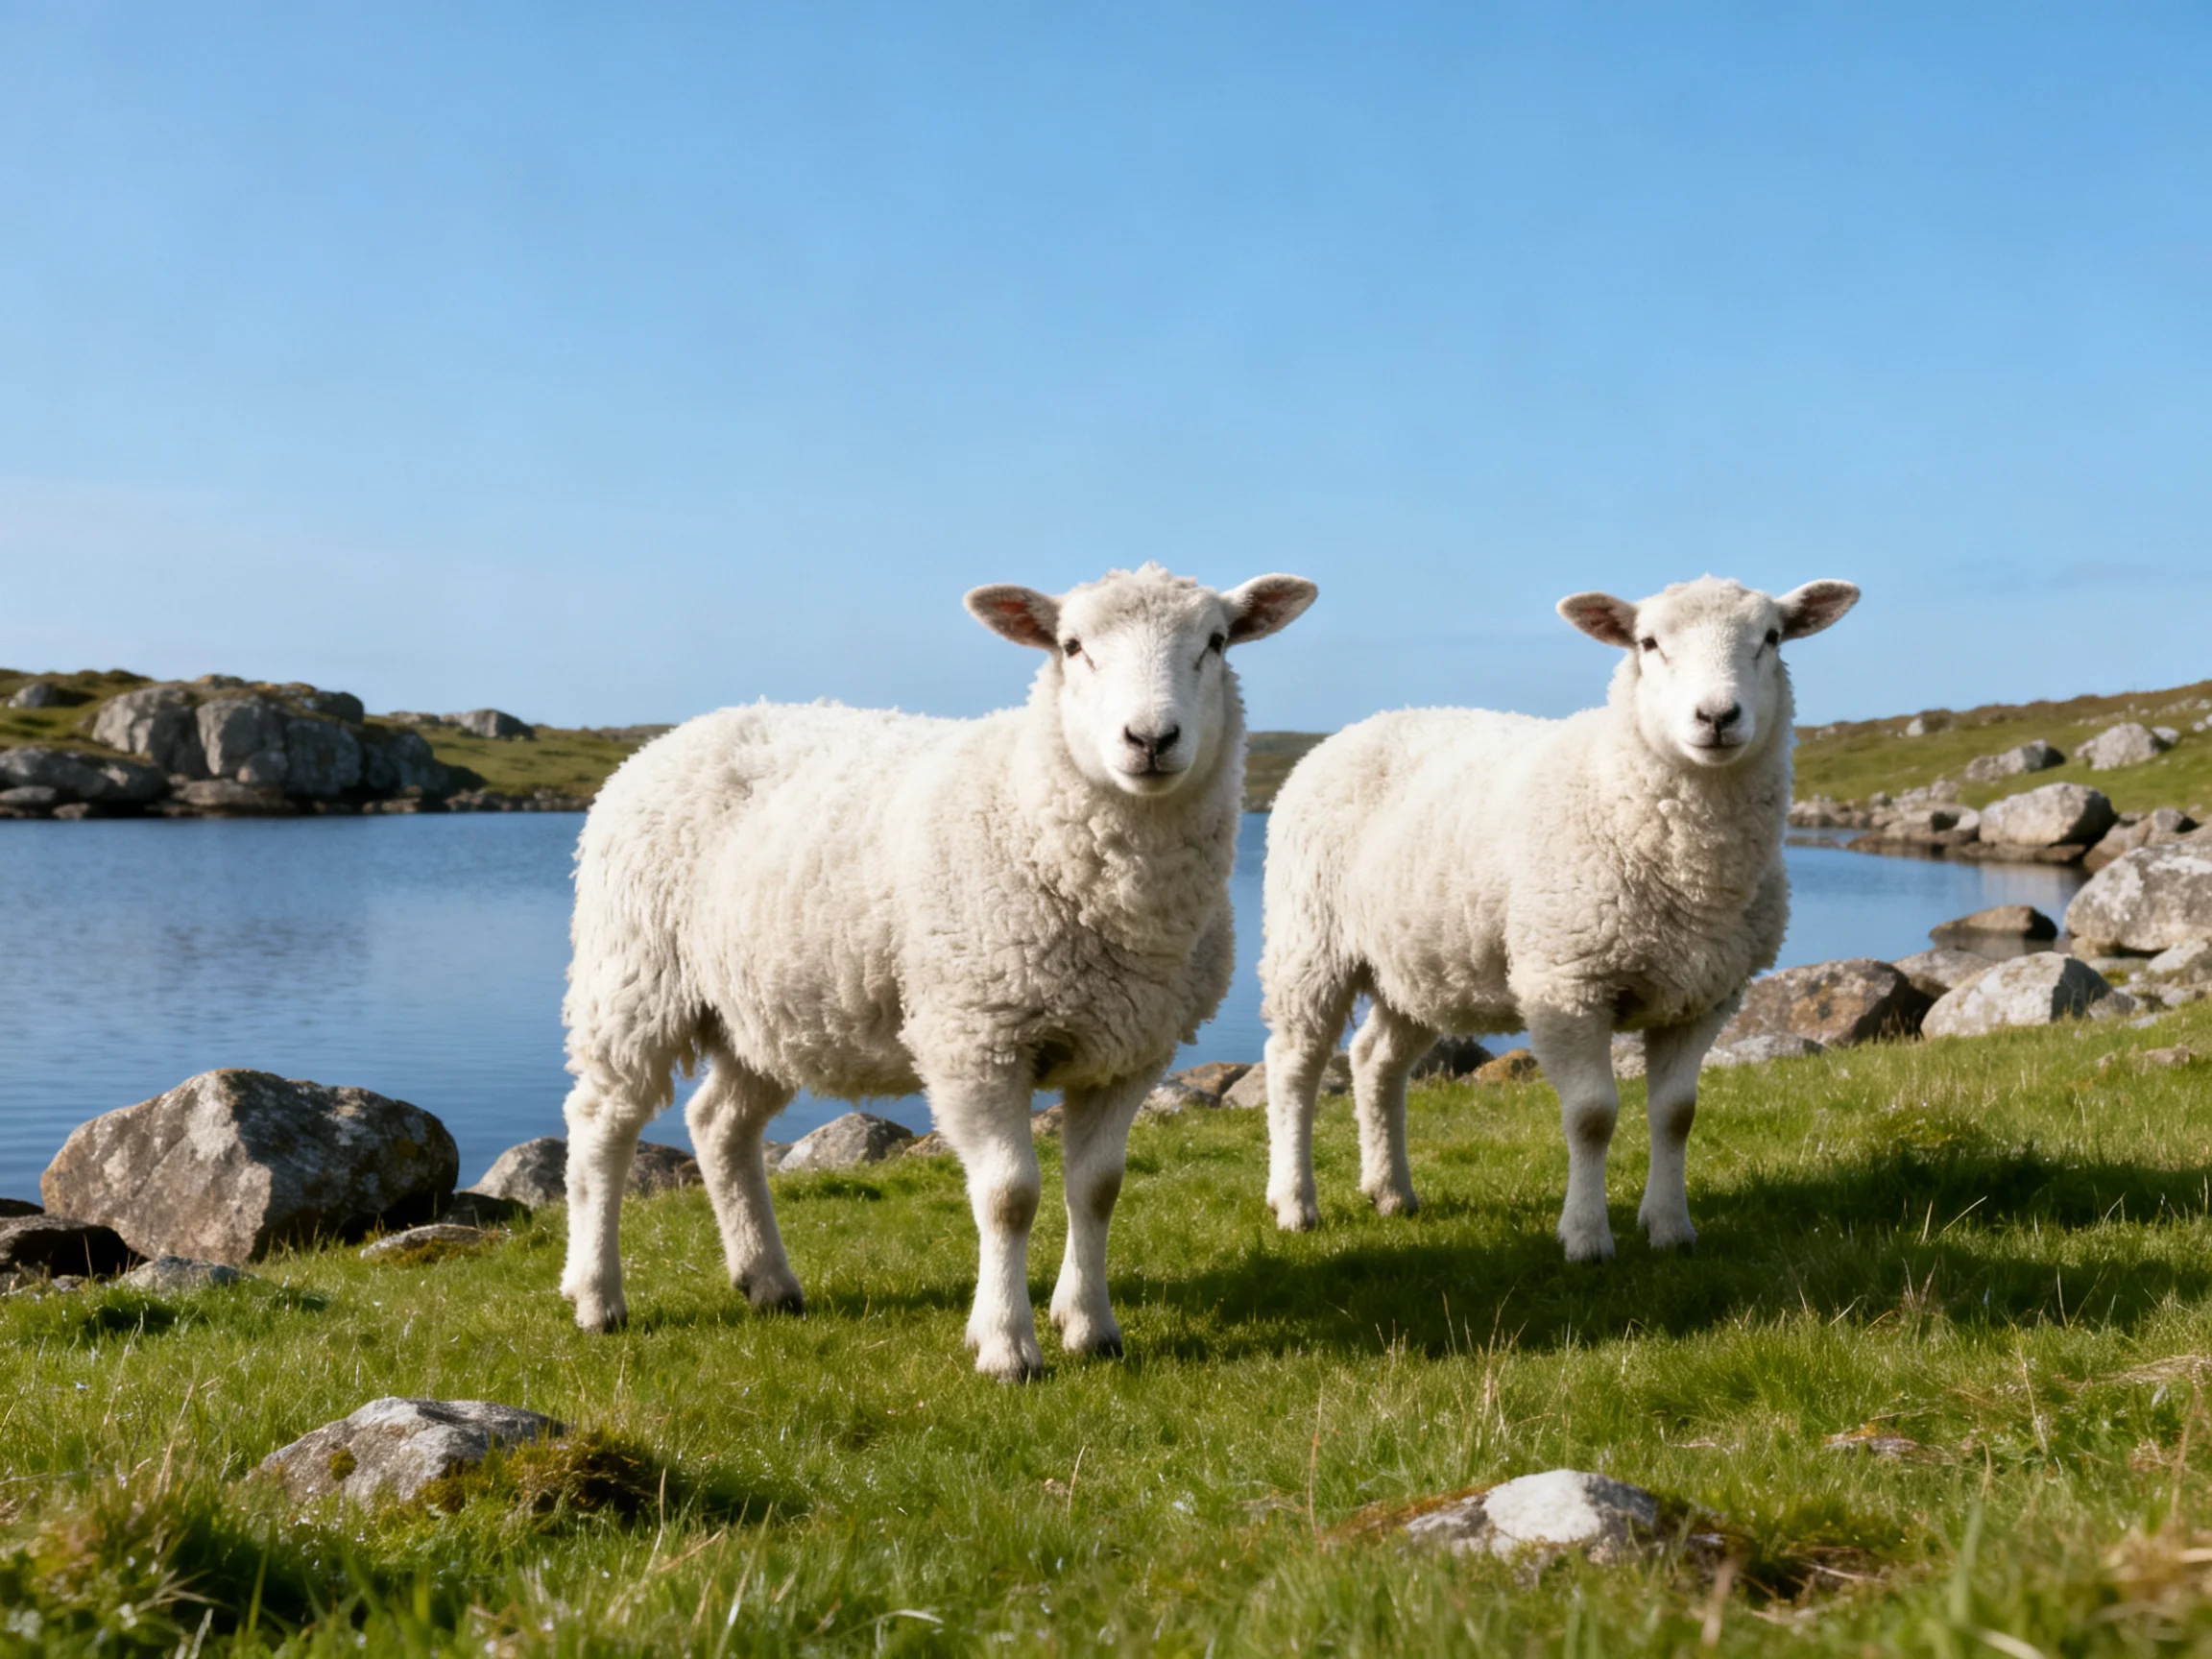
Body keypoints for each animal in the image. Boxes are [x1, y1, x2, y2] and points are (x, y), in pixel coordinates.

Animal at [559, 563, 1317, 1379]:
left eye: (1216, 642)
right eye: (1072, 646)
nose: (1150, 739)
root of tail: (675, 734)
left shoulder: (1128, 1050)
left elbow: (1098, 1190)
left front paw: (1090, 1327)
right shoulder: (973, 1038)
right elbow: (1010, 1196)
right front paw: (1008, 1346)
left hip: (768, 1007)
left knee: (719, 1125)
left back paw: (766, 1279)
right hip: (633, 977)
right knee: (602, 1126)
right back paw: (596, 1296)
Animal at [1258, 575, 1858, 1259]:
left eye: (1772, 637)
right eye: (1648, 643)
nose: (1717, 718)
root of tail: (1361, 725)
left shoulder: (1704, 996)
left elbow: (1677, 1114)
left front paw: (1670, 1228)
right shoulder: (1566, 982)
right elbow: (1592, 1115)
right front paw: (1587, 1236)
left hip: (1418, 963)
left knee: (1375, 1061)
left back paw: (1390, 1191)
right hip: (1309, 941)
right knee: (1294, 1064)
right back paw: (1294, 1202)